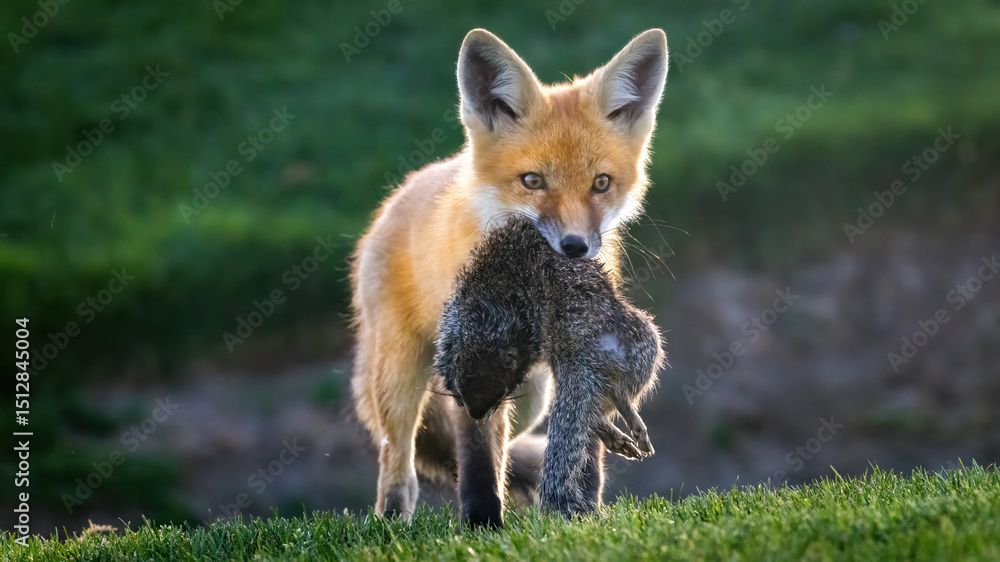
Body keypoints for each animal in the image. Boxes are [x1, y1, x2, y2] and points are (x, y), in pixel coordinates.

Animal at [434, 217, 664, 526]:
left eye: (500, 396)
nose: (477, 414)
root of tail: (577, 351)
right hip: (642, 339)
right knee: (619, 391)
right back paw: (628, 422)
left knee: (589, 406)